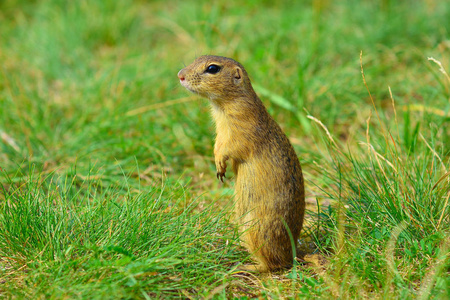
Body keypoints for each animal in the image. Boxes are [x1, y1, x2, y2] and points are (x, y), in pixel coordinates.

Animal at [178, 54, 304, 272]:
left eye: (212, 68)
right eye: (197, 58)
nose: (180, 75)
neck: (223, 106)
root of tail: (292, 255)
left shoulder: (242, 128)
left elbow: (230, 147)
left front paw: (220, 165)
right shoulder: (220, 132)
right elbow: (217, 144)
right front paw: (218, 167)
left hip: (255, 229)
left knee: (273, 265)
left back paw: (246, 266)